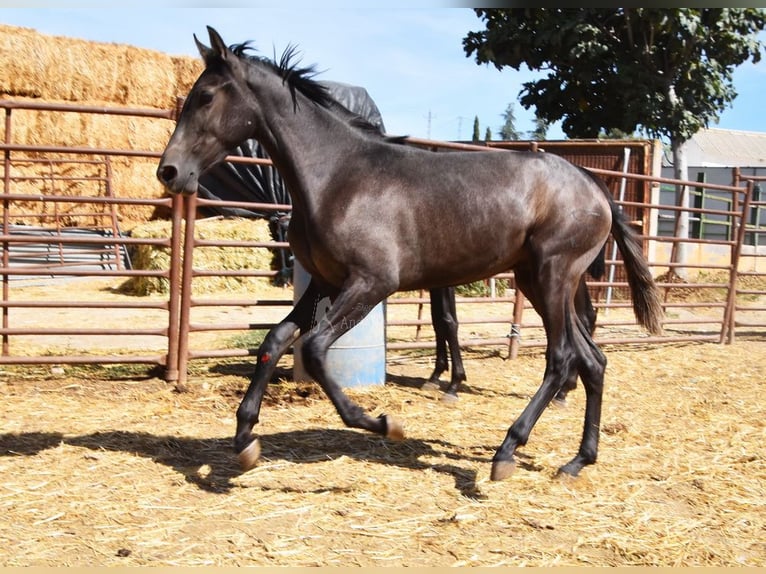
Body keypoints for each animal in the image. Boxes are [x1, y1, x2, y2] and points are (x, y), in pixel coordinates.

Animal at [158, 29, 664, 484]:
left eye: (205, 96)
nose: (169, 171)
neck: (338, 175)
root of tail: (594, 185)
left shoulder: (371, 283)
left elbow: (316, 349)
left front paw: (384, 423)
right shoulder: (324, 282)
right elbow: (275, 341)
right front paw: (245, 440)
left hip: (552, 275)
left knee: (561, 359)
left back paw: (506, 451)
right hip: (537, 281)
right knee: (593, 360)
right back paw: (577, 461)